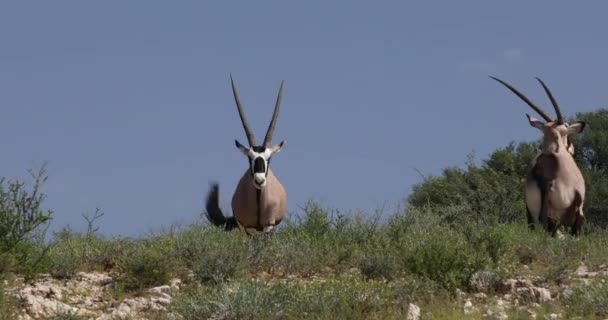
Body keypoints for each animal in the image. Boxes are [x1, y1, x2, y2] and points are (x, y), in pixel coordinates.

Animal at [492, 77, 588, 235]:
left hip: (532, 212)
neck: (552, 150)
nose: (572, 150)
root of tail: (544, 177)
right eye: (567, 131)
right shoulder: (578, 208)